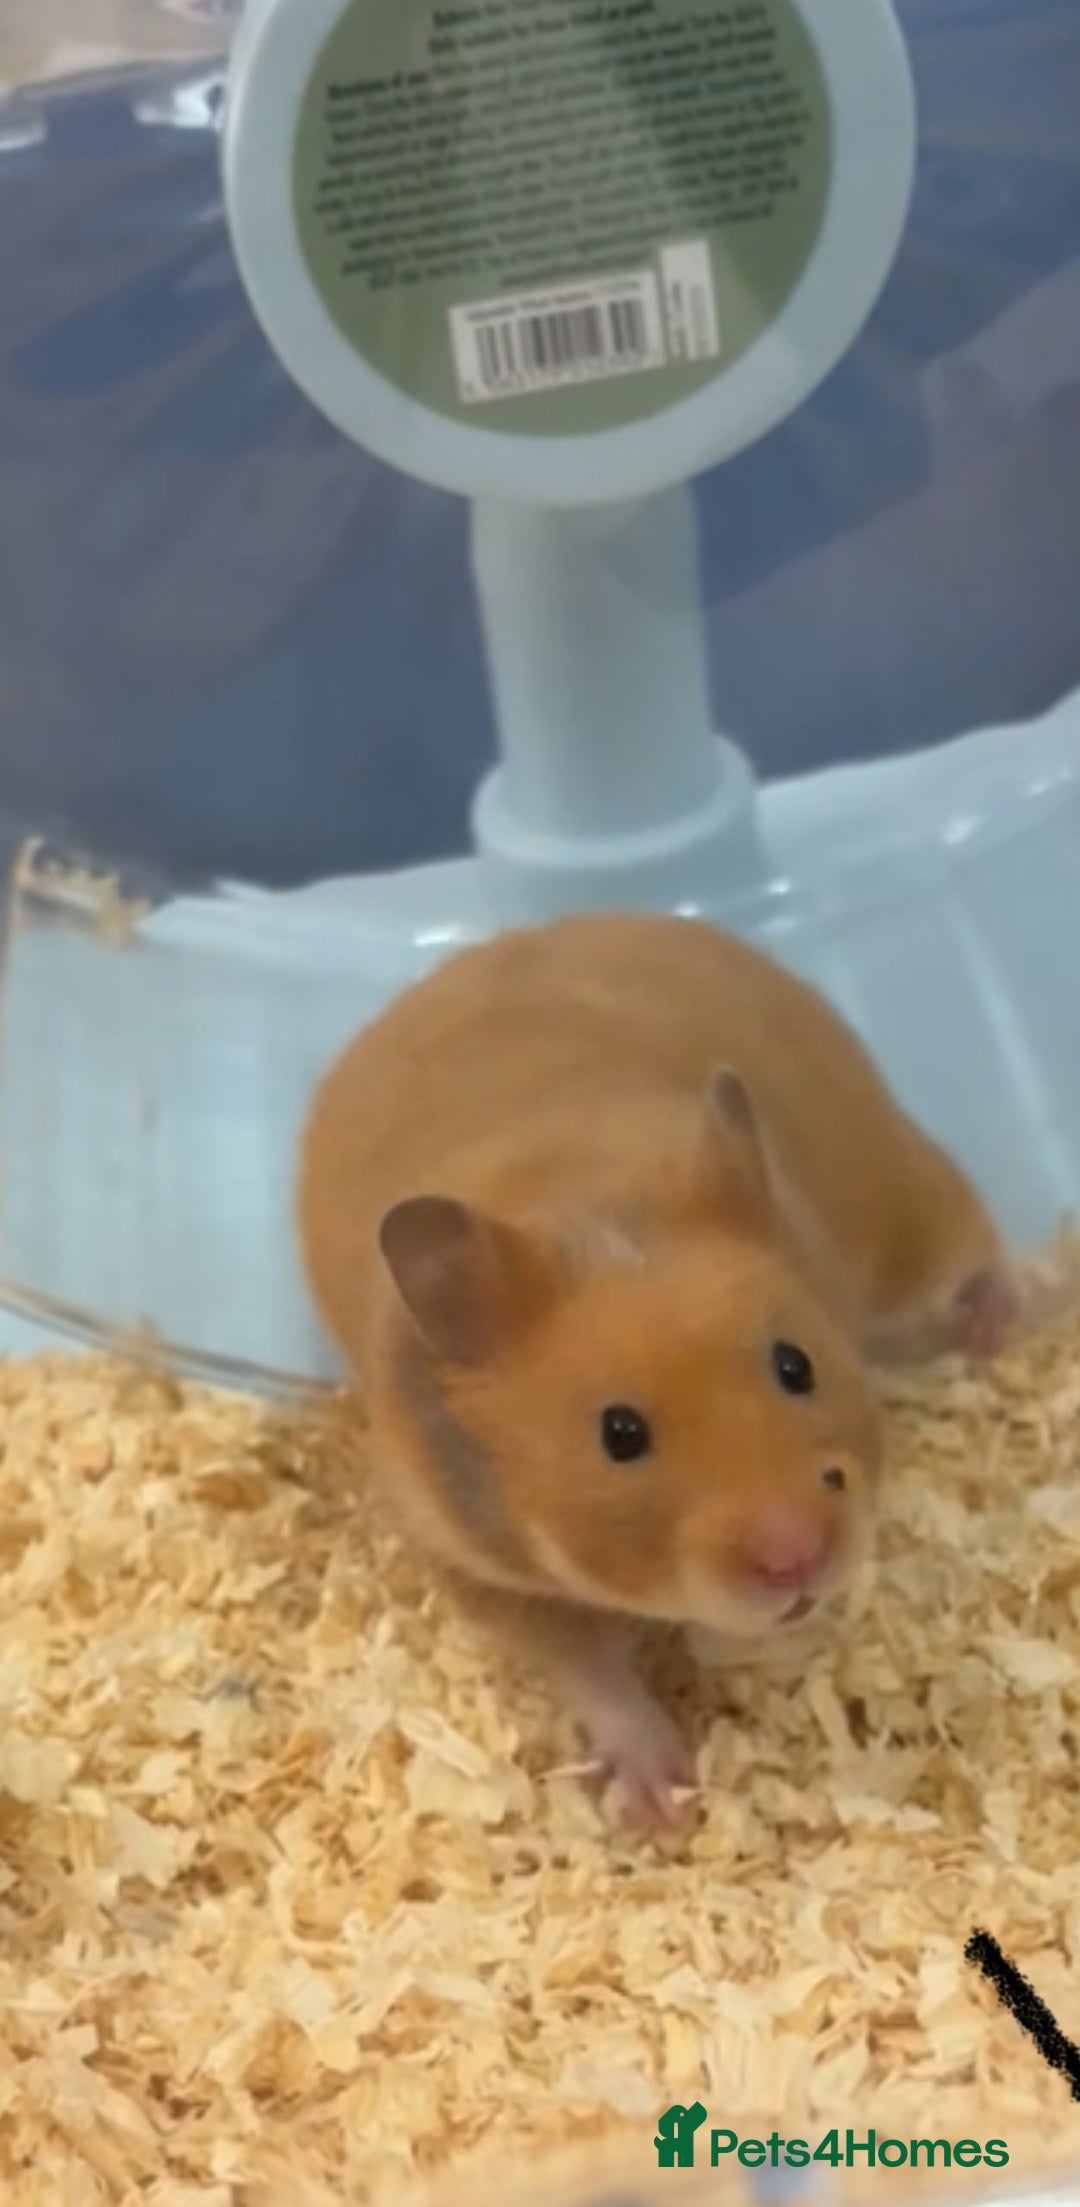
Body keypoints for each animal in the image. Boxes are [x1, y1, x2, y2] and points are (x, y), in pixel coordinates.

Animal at [297, 911, 1018, 1828]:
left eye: (796, 1364)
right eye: (619, 1433)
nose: (797, 1560)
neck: (589, 1206)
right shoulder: (480, 1565)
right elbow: (592, 1673)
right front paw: (661, 1806)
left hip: (895, 1184)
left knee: (969, 1238)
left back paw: (1010, 1314)